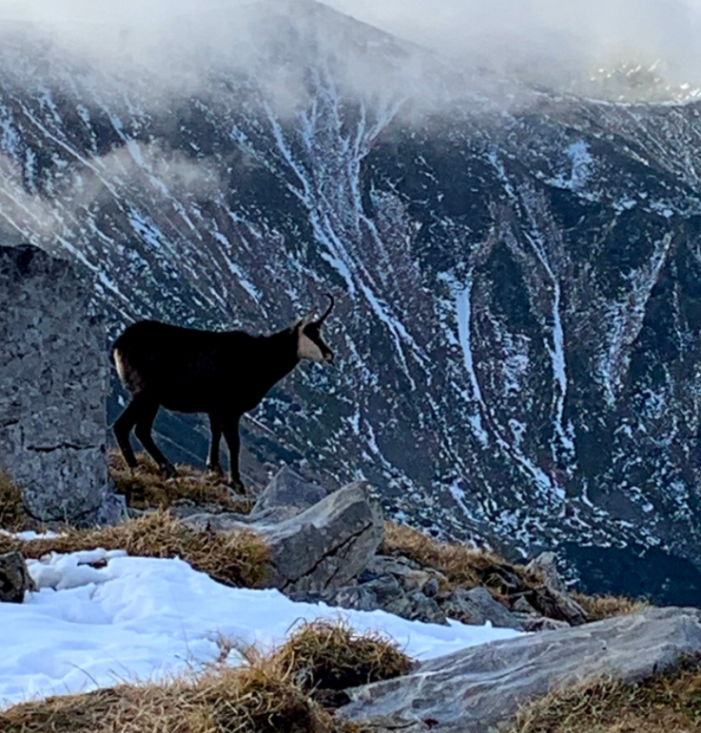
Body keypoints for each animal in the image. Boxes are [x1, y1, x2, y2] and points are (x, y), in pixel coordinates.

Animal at [111, 295, 335, 493]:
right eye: (311, 333)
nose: (330, 355)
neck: (260, 357)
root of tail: (120, 343)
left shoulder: (215, 408)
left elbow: (215, 433)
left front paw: (214, 469)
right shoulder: (230, 409)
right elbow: (234, 443)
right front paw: (236, 482)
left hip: (151, 399)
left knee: (141, 430)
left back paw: (166, 468)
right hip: (145, 394)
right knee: (124, 426)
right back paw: (139, 467)